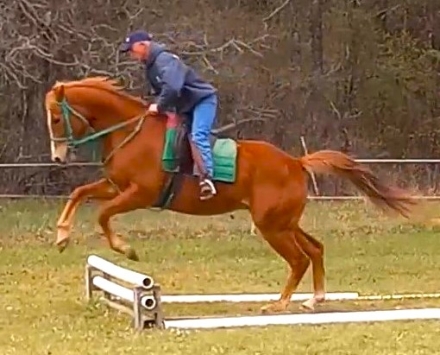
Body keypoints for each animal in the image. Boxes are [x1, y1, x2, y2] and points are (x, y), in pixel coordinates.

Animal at [43, 76, 416, 314]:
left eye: (56, 118)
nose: (57, 158)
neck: (130, 132)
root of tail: (296, 162)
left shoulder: (139, 193)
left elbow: (103, 214)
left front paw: (126, 249)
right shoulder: (117, 187)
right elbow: (79, 193)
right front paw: (61, 236)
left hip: (272, 226)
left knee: (299, 259)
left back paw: (280, 304)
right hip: (283, 222)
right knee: (315, 249)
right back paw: (314, 299)